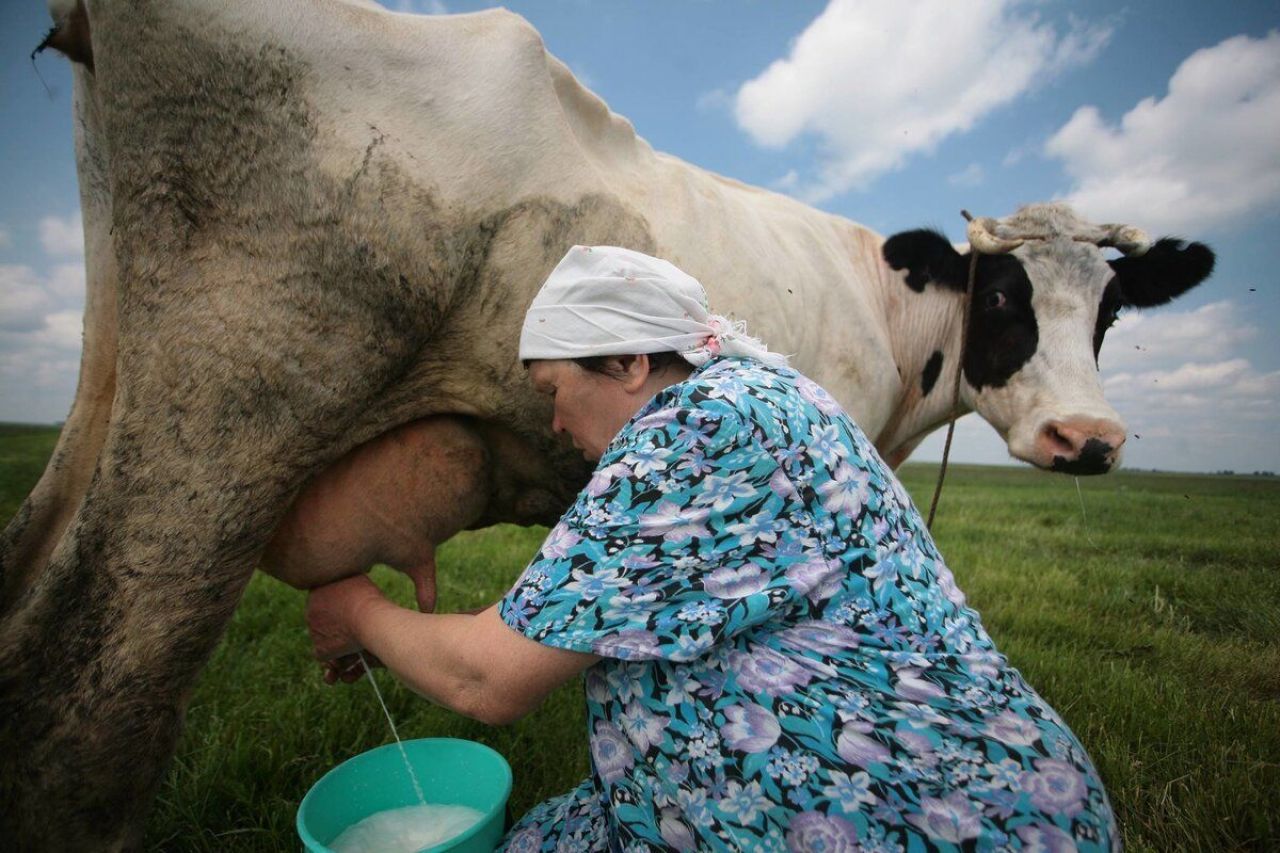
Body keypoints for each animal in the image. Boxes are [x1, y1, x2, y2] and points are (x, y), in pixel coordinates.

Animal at [2, 0, 1208, 845]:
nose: (1089, 441)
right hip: (228, 416)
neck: (880, 298)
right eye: (1002, 299)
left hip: (114, 388)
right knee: (77, 711)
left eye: (1108, 309)